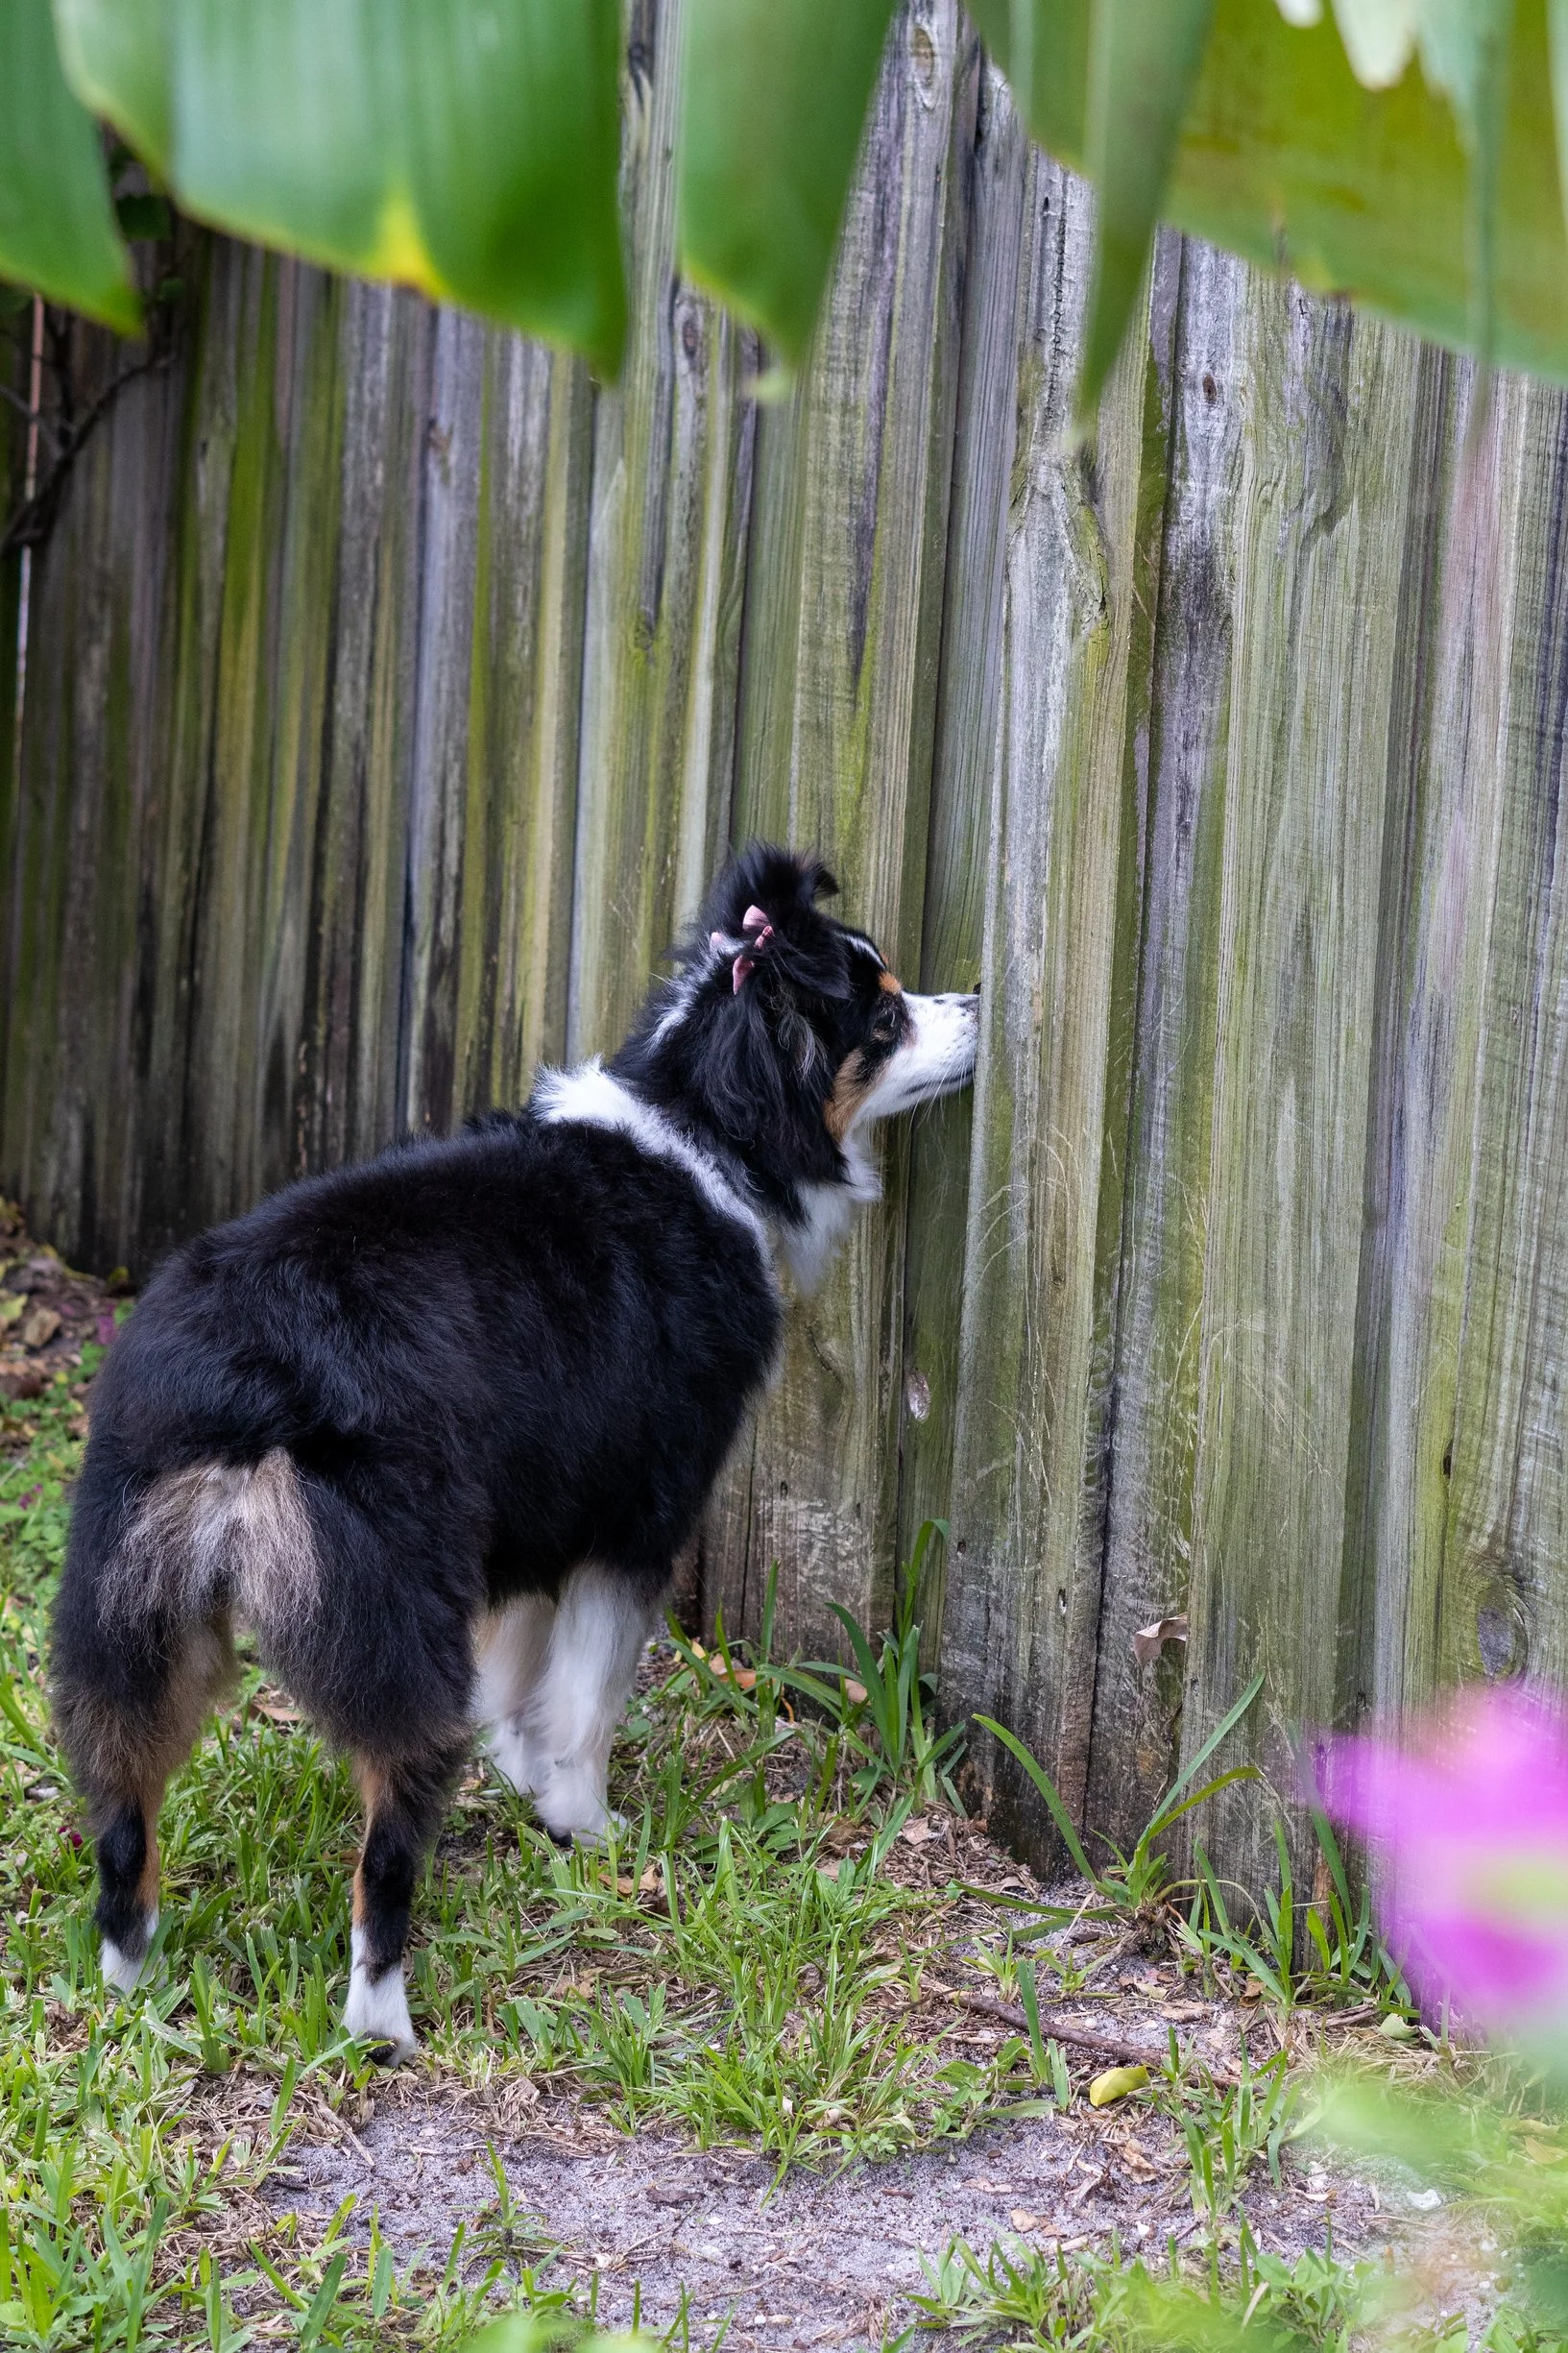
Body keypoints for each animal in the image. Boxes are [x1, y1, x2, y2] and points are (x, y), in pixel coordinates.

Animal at [51, 844, 979, 2058]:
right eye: (881, 1009)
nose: (980, 1005)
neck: (704, 1128)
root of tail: (240, 1369)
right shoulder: (640, 1509)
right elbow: (584, 1696)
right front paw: (582, 1820)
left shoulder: (537, 1502)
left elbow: (522, 1671)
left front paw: (524, 1773)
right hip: (389, 1612)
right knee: (384, 1852)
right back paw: (383, 2019)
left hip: (132, 1607)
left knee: (124, 1822)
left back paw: (132, 1982)